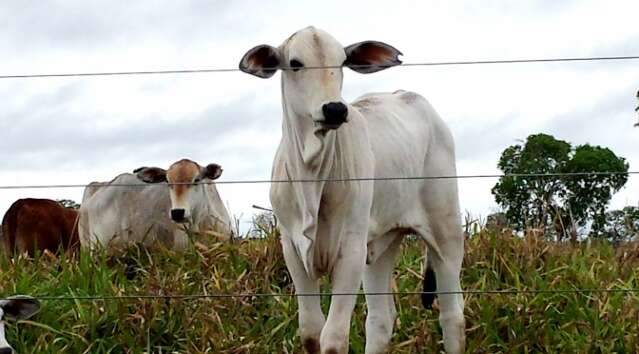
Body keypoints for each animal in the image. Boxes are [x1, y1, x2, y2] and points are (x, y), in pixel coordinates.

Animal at [240, 27, 464, 354]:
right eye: (295, 63)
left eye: (342, 62)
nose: (334, 108)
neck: (312, 176)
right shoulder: (293, 249)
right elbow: (311, 332)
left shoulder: (350, 250)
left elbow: (333, 338)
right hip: (381, 243)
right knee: (381, 319)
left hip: (446, 232)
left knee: (452, 314)